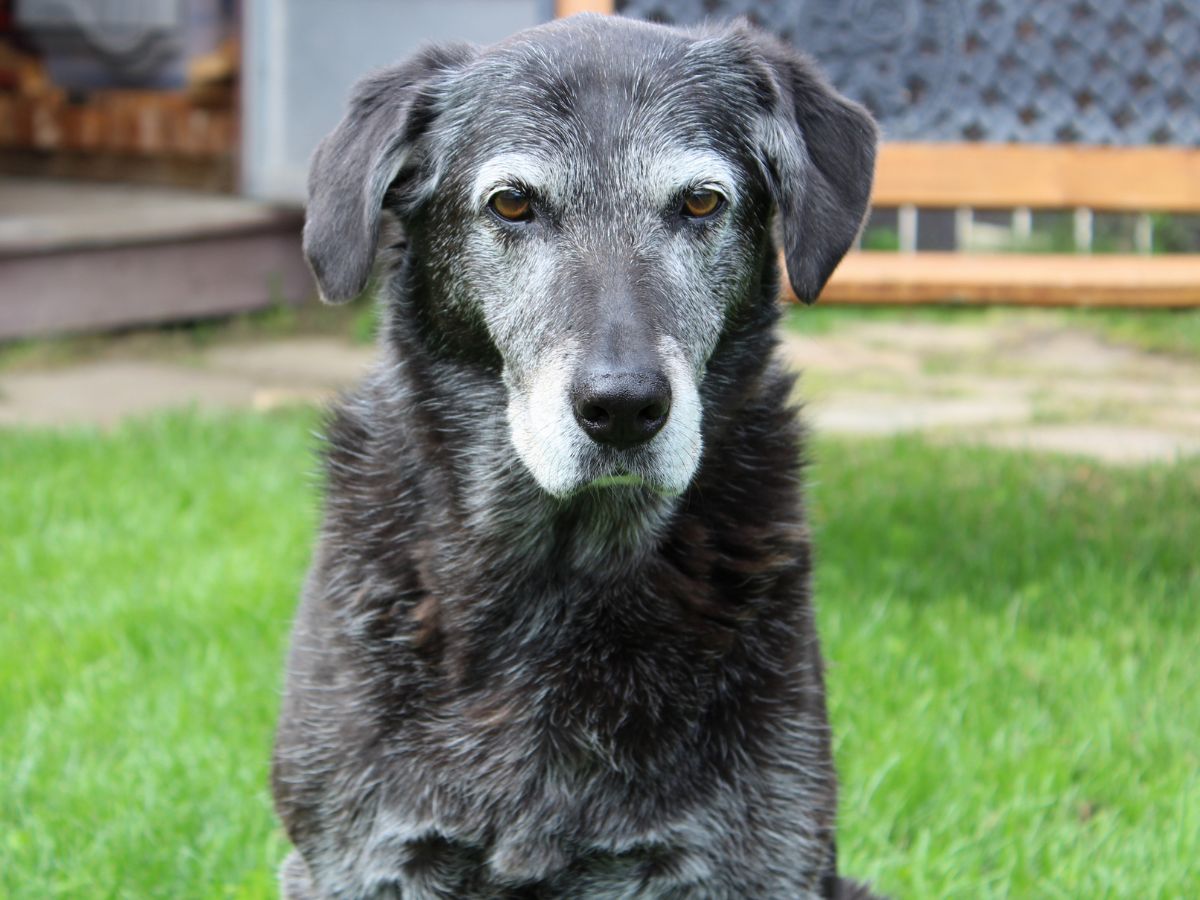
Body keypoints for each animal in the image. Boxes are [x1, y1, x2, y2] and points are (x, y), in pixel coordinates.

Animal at [274, 14, 883, 900]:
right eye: (512, 202)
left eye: (700, 200)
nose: (623, 408)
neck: (558, 576)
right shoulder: (358, 857)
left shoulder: (756, 859)